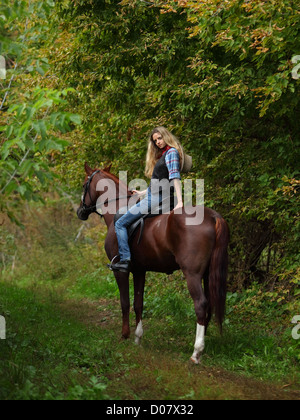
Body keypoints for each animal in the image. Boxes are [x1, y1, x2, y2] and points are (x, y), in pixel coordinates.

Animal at [76, 164, 229, 364]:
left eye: (84, 184)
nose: (80, 211)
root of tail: (213, 216)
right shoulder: (140, 271)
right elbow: (138, 303)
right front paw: (137, 338)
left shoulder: (121, 271)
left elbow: (124, 302)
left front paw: (124, 335)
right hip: (207, 274)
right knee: (209, 305)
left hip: (192, 274)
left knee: (201, 304)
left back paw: (196, 352)